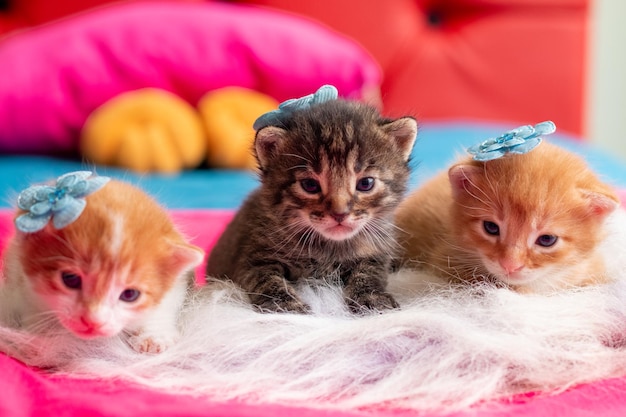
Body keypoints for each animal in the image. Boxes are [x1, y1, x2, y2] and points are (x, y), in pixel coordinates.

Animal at [207, 88, 416, 316]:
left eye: (366, 183)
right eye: (310, 185)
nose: (340, 214)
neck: (329, 248)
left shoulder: (377, 251)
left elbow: (370, 272)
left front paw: (373, 297)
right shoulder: (252, 257)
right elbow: (266, 280)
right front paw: (286, 306)